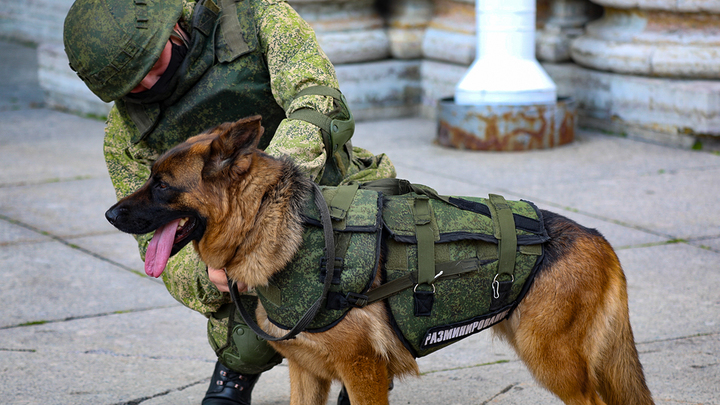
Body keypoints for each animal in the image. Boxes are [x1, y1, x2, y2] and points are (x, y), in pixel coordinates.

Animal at [105, 115, 652, 402]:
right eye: (149, 176)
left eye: (163, 186)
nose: (109, 213)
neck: (271, 222)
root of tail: (596, 237)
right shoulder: (308, 374)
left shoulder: (363, 370)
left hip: (553, 361)